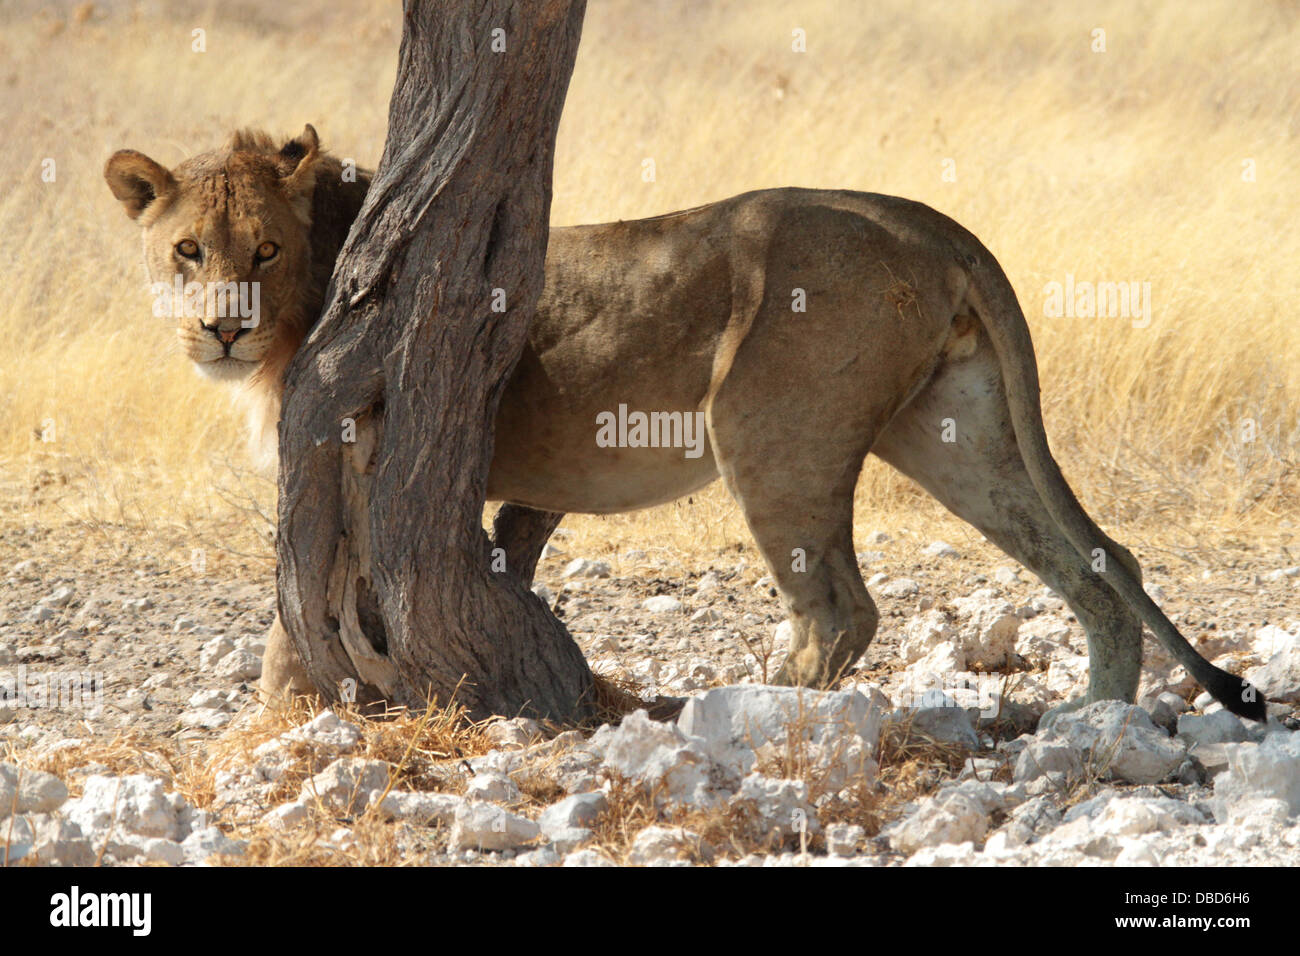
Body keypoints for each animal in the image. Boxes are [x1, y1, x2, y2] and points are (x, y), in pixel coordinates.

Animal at [105, 125, 1265, 722]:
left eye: (262, 249)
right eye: (188, 250)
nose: (219, 329)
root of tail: (921, 217)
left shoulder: (348, 468)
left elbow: (291, 623)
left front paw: (278, 722)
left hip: (769, 432)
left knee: (840, 610)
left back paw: (761, 718)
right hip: (956, 431)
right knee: (1102, 565)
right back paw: (1095, 719)